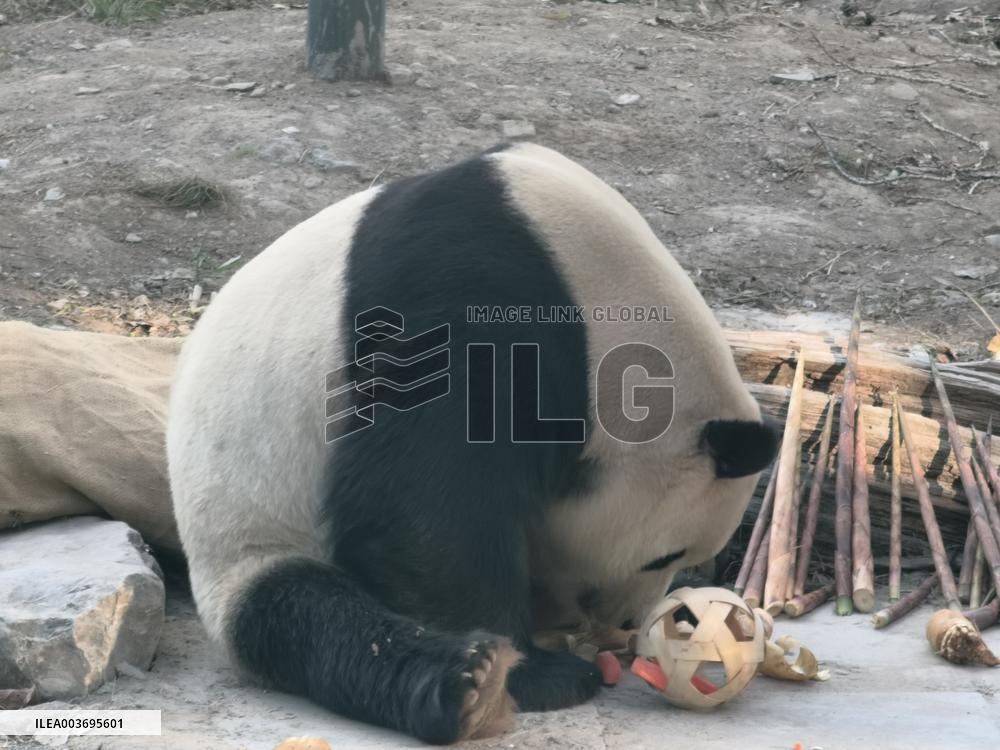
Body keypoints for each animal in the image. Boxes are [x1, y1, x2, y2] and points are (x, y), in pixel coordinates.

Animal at [166, 143, 777, 744]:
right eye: (664, 554)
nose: (628, 622)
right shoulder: (466, 299)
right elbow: (422, 511)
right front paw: (533, 672)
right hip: (247, 531)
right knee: (311, 619)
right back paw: (467, 683)